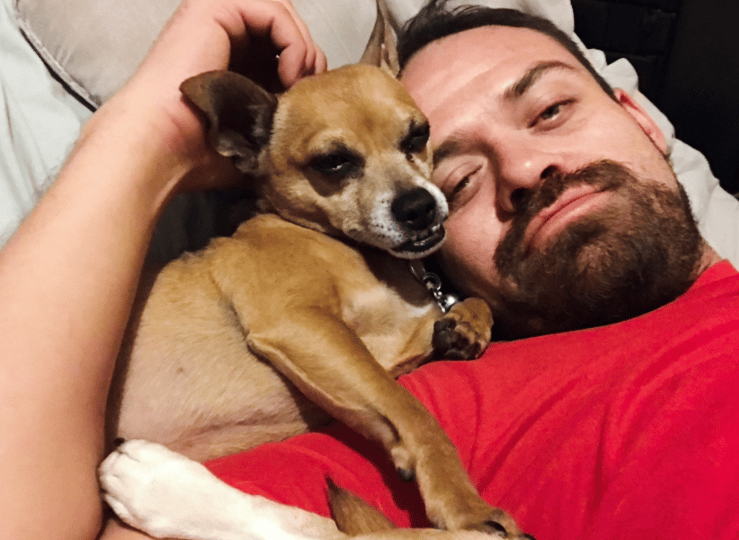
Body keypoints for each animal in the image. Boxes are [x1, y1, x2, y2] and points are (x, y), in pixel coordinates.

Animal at [102, 1, 527, 537]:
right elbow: (411, 410)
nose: (420, 207)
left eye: (418, 135)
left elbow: (467, 305)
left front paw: (467, 324)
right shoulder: (299, 323)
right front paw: (463, 503)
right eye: (333, 162)